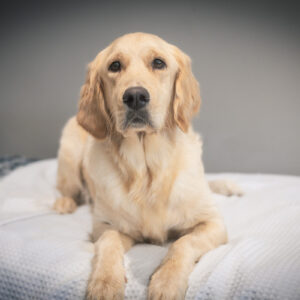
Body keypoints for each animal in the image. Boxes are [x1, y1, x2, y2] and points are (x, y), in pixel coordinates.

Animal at [53, 32, 241, 300]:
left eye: (158, 63)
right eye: (114, 66)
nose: (134, 96)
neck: (146, 171)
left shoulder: (213, 223)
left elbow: (183, 244)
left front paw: (166, 282)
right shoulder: (104, 226)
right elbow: (108, 242)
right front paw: (104, 283)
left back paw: (229, 185)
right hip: (69, 150)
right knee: (67, 189)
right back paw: (63, 203)